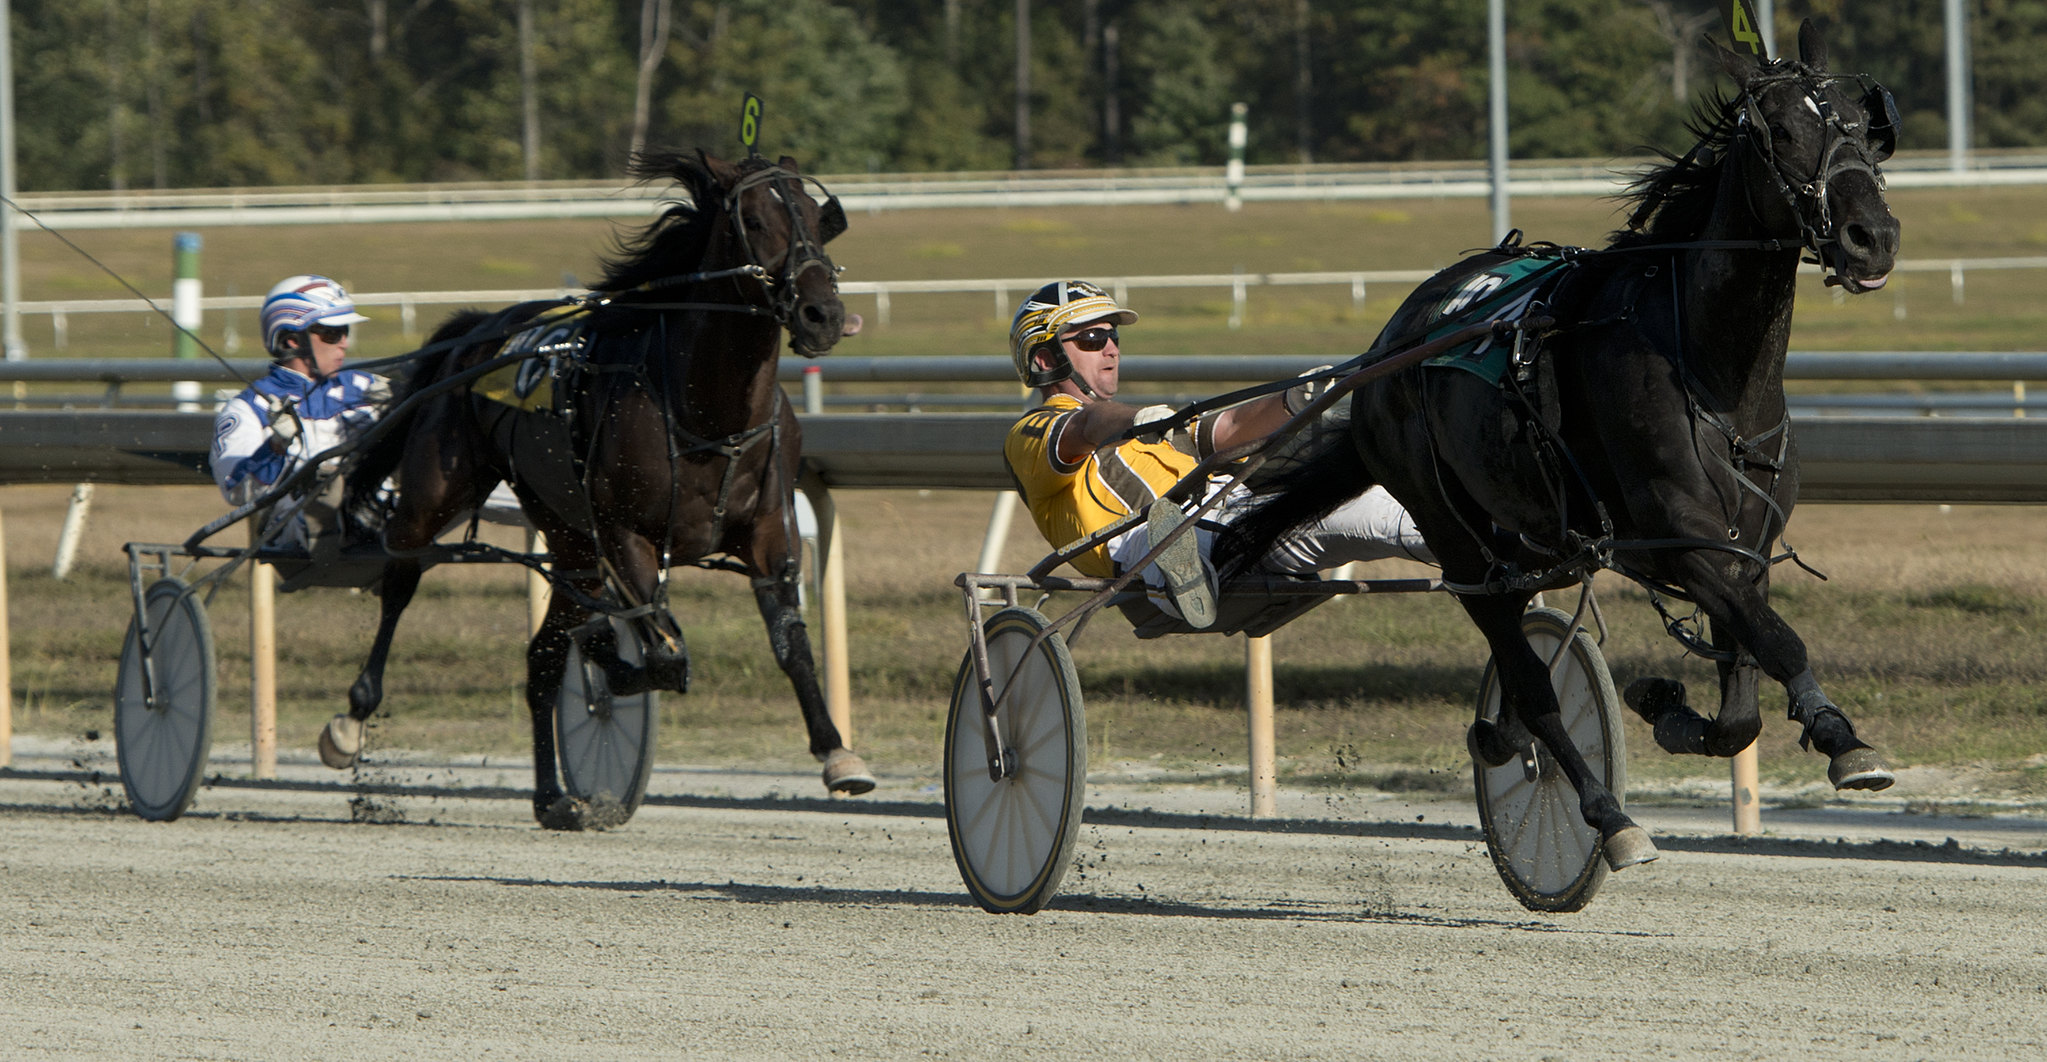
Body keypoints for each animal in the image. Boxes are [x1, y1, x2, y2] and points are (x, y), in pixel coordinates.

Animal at [323, 149, 867, 822]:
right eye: (757, 221)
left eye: (819, 219)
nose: (824, 315)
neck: (707, 413)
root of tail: (482, 326)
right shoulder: (625, 534)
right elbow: (664, 653)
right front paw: (614, 656)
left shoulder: (768, 532)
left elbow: (789, 643)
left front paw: (837, 753)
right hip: (437, 490)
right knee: (400, 580)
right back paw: (351, 721)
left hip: (566, 532)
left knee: (542, 653)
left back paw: (552, 796)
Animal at [1211, 22, 1899, 871]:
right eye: (1779, 132)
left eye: (1865, 126)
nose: (1871, 237)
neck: (1715, 377)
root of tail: (1389, 344)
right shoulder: (1682, 543)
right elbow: (1776, 641)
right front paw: (1841, 739)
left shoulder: (1747, 549)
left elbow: (1742, 696)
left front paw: (1668, 704)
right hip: (1456, 538)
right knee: (1529, 684)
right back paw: (1604, 814)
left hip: (1529, 537)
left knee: (1522, 667)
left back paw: (1510, 737)